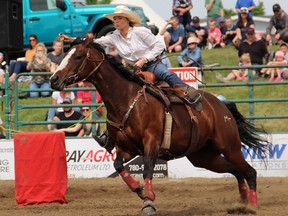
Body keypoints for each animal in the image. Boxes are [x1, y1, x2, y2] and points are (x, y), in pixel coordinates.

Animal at [50, 38, 270, 216]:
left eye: (78, 56)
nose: (54, 79)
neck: (126, 99)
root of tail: (221, 106)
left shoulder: (152, 141)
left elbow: (147, 169)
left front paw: (148, 202)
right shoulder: (127, 148)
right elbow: (118, 166)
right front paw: (140, 191)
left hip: (230, 146)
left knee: (249, 171)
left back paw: (252, 206)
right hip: (203, 157)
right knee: (236, 171)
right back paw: (242, 204)